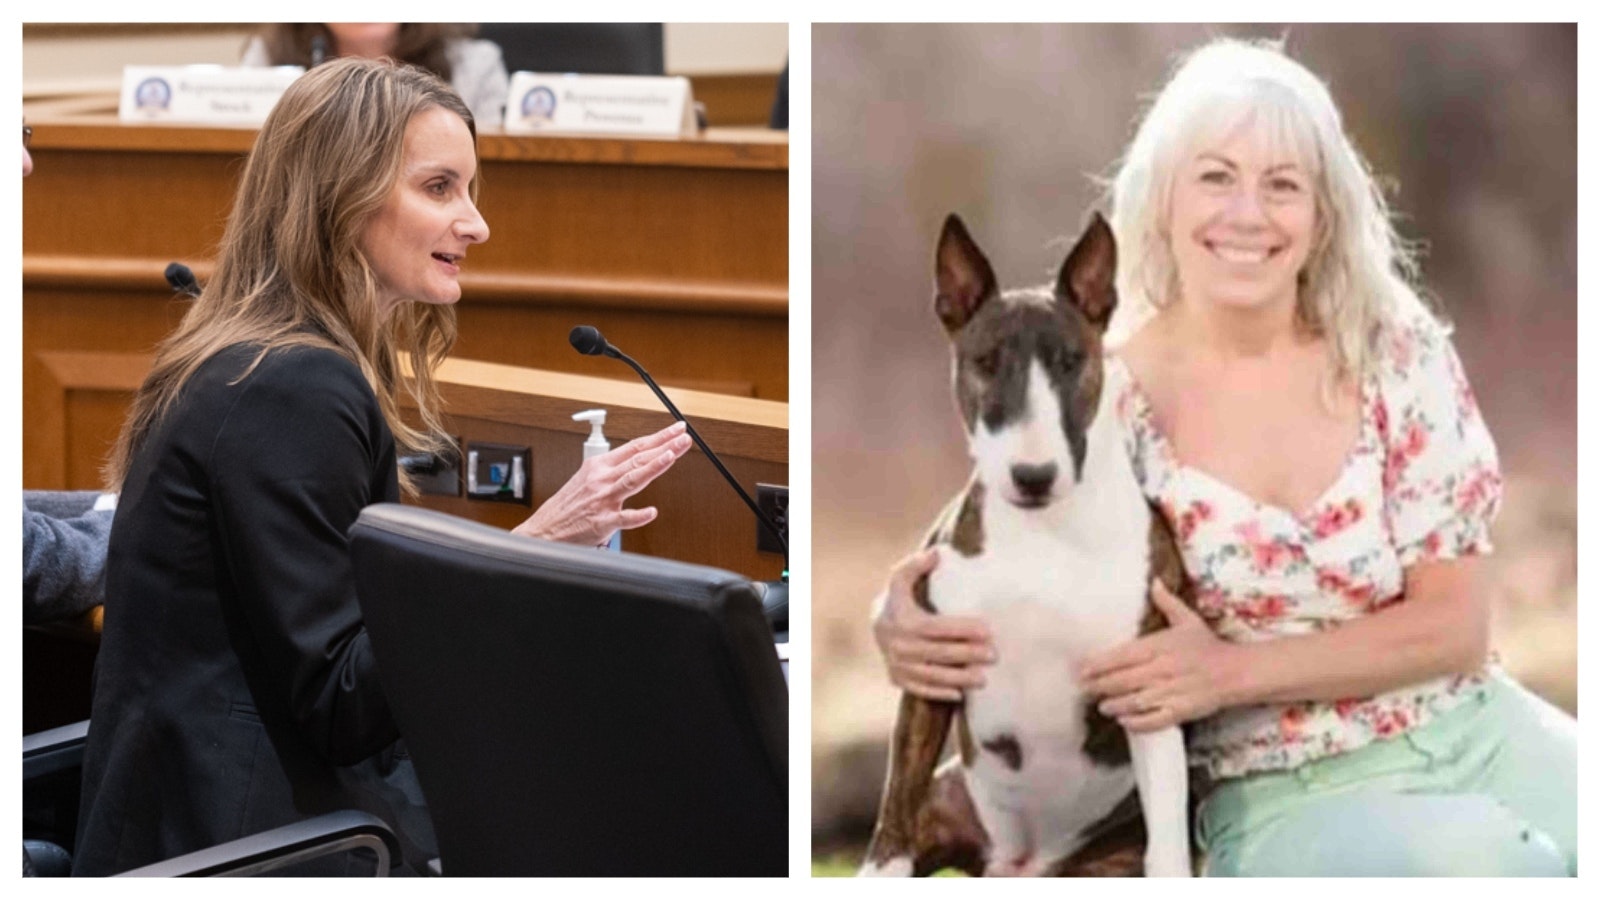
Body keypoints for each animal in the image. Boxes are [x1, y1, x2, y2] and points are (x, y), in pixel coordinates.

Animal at [864, 212, 1190, 871]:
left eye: (1070, 361)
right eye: (986, 360)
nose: (1033, 475)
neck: (1043, 532)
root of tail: (1019, 867)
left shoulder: (1147, 685)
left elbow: (1169, 847)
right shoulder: (931, 672)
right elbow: (895, 811)